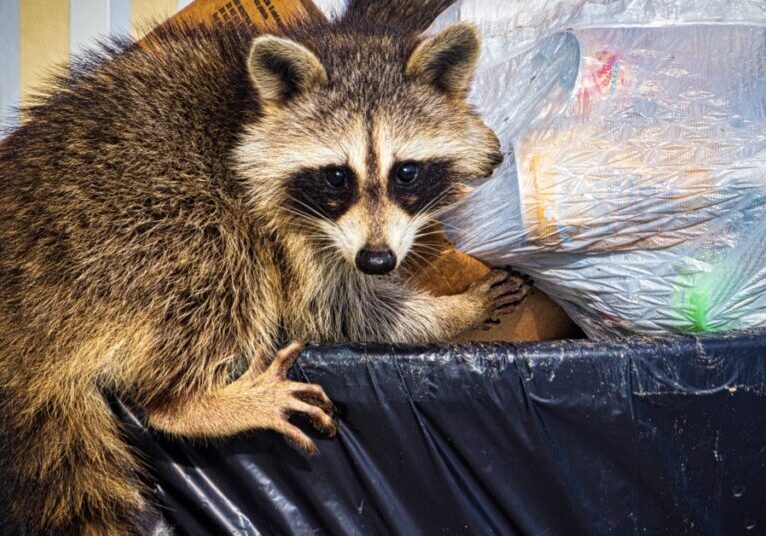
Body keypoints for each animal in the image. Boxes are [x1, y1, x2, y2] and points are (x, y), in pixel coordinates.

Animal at [0, 0, 527, 533]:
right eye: (337, 176)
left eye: (407, 172)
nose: (377, 261)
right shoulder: (279, 227)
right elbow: (338, 312)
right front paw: (456, 313)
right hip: (124, 232)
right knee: (217, 253)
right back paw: (189, 403)